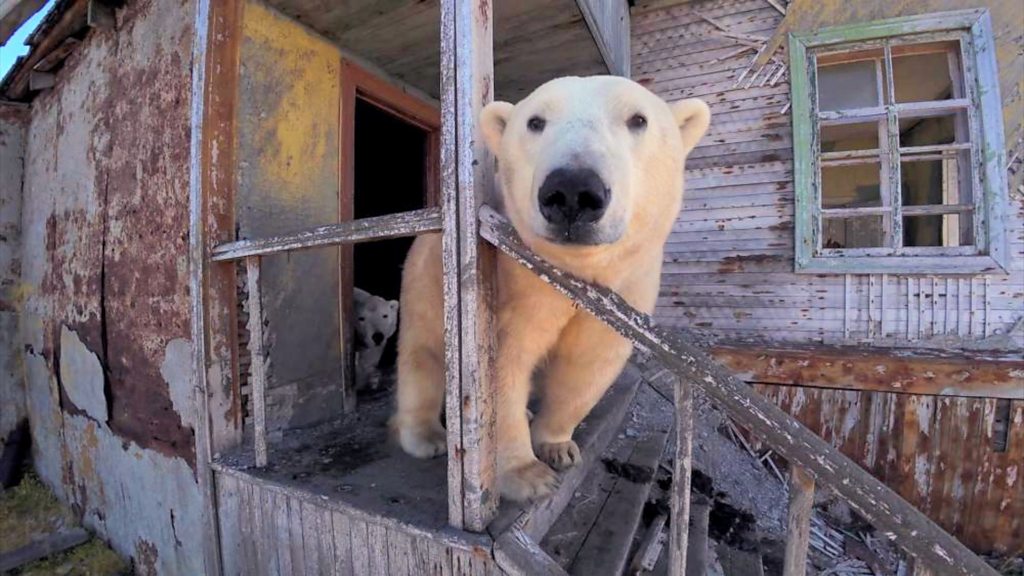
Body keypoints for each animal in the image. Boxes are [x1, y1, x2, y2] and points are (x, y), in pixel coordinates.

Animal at [392, 75, 710, 502]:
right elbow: (501, 367)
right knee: (421, 356)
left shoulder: (625, 288)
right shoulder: (513, 288)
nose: (573, 190)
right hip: (424, 283)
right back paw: (427, 437)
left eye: (638, 119)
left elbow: (587, 364)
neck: (573, 271)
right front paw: (528, 476)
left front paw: (557, 447)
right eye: (535, 121)